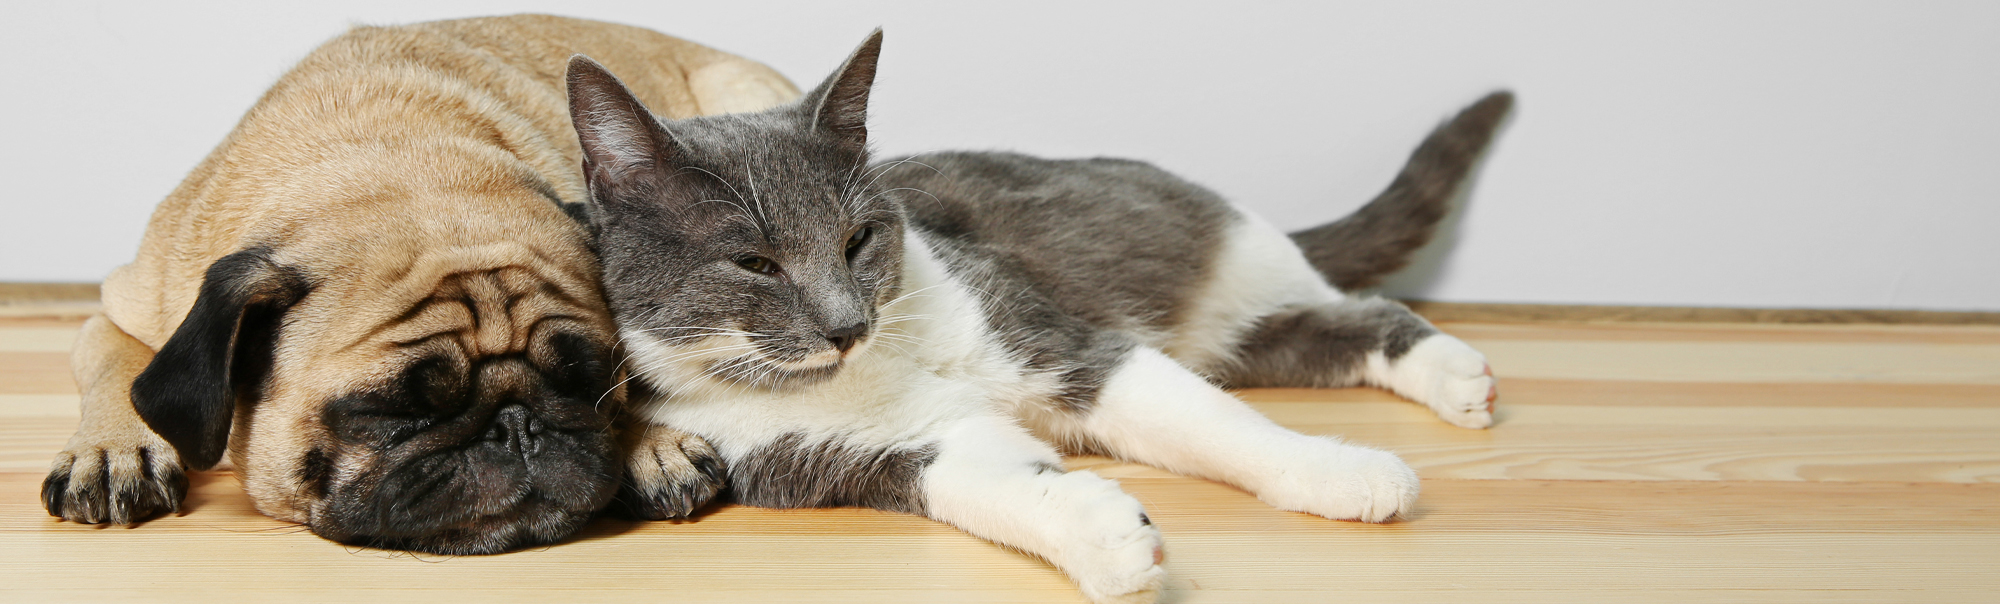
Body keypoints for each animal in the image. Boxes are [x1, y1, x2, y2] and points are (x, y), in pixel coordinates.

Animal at [39, 13, 804, 552]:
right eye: (391, 412)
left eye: (587, 382)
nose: (516, 426)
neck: (393, 159)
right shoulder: (123, 308)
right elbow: (117, 363)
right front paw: (109, 449)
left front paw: (650, 441)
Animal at [560, 34, 1504, 604]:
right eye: (754, 263)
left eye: (858, 240)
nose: (846, 324)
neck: (877, 365)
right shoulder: (829, 454)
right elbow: (982, 479)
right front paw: (1103, 534)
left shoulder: (1057, 336)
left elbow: (1212, 424)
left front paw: (1335, 472)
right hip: (1235, 337)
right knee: (1303, 335)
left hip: (1219, 261)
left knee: (1356, 306)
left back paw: (1457, 376)